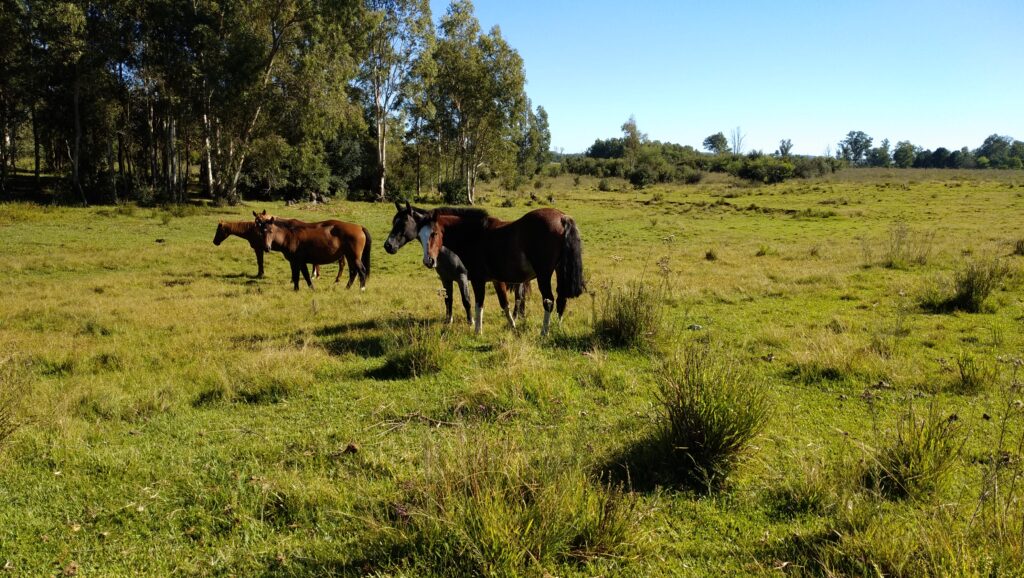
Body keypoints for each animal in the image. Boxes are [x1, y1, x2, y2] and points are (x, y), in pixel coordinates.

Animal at [383, 202, 528, 325]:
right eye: (393, 223)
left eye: (403, 224)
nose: (388, 246)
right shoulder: (445, 279)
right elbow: (448, 299)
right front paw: (449, 321)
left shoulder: (462, 277)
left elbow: (466, 300)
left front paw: (471, 322)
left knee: (519, 295)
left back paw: (516, 316)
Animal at [417, 207, 585, 335]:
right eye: (419, 236)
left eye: (434, 233)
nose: (428, 261)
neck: (474, 235)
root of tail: (562, 217)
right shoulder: (497, 280)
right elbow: (504, 303)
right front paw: (513, 326)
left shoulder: (478, 280)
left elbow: (479, 304)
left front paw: (478, 331)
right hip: (560, 270)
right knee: (562, 298)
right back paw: (557, 327)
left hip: (543, 275)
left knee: (549, 301)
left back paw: (544, 332)